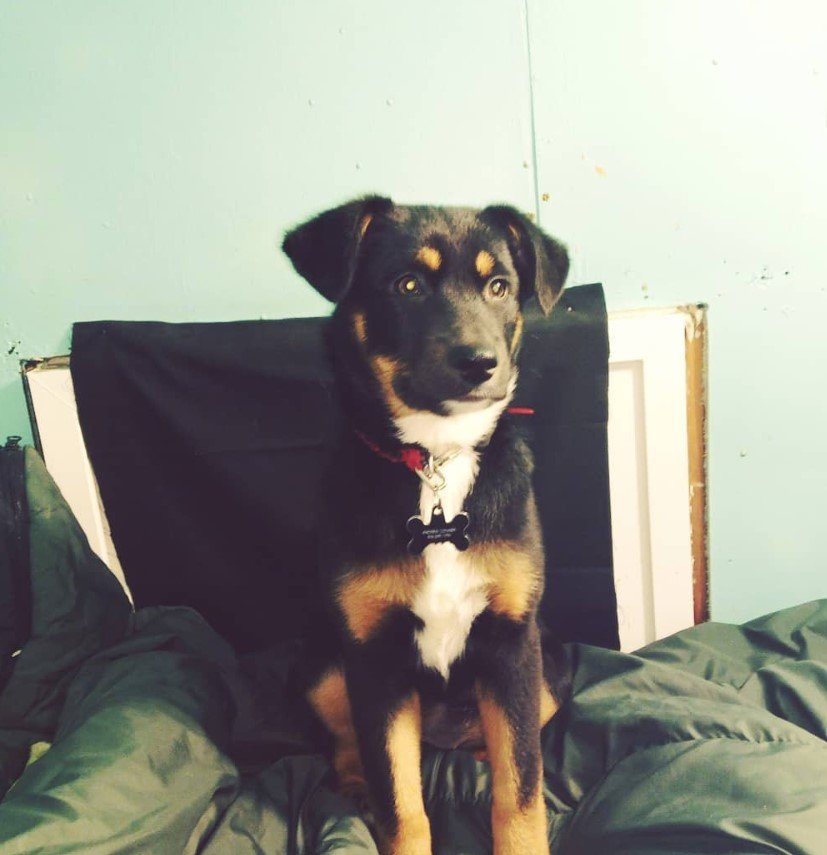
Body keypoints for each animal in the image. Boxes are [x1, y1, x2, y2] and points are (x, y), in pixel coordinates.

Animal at [284, 199, 568, 855]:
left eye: (499, 286)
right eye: (407, 285)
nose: (481, 363)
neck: (438, 458)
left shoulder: (514, 646)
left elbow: (521, 792)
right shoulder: (373, 660)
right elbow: (402, 805)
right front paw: (383, 803)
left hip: (545, 678)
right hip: (325, 668)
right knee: (350, 745)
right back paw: (355, 784)